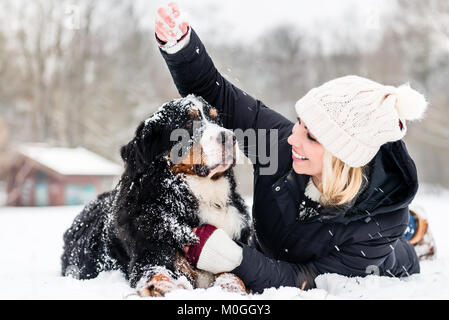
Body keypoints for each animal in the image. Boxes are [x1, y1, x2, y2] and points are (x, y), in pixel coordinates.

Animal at [60, 95, 252, 298]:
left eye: (217, 120)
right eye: (188, 123)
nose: (230, 137)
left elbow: (233, 275)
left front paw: (232, 289)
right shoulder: (150, 255)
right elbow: (158, 274)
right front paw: (168, 289)